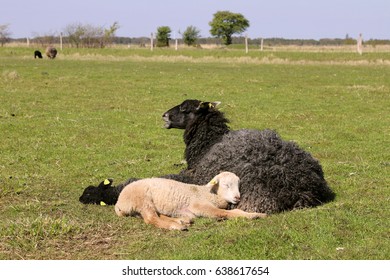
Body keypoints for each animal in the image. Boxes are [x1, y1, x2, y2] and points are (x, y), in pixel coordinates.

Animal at [113, 172, 266, 231]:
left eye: (239, 185)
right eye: (226, 185)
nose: (237, 198)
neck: (208, 193)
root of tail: (119, 202)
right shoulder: (200, 206)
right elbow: (226, 213)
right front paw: (254, 215)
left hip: (143, 205)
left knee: (155, 215)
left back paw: (181, 221)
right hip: (142, 199)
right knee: (151, 218)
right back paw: (176, 226)